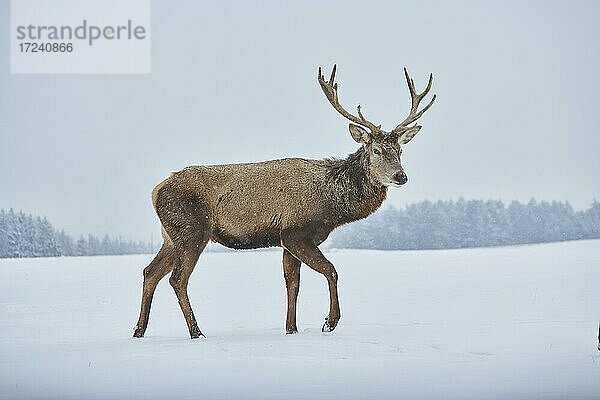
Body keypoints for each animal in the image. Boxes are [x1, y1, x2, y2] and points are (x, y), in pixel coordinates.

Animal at [134, 65, 436, 338]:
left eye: (399, 150)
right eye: (376, 150)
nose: (400, 176)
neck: (331, 207)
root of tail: (156, 190)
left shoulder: (285, 239)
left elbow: (293, 284)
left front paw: (291, 328)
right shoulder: (295, 233)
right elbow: (331, 271)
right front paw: (329, 322)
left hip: (170, 235)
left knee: (150, 272)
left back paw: (139, 330)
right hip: (191, 230)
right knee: (177, 279)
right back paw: (196, 332)